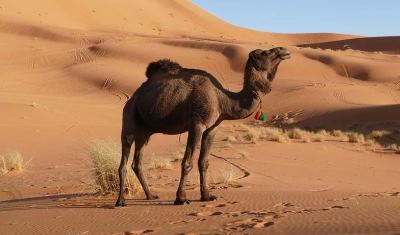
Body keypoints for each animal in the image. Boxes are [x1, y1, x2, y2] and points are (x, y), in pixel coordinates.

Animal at [115, 46, 290, 206]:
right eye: (266, 52)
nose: (284, 50)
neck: (223, 100)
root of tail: (133, 98)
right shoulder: (197, 124)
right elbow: (187, 162)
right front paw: (181, 198)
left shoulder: (212, 129)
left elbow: (204, 162)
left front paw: (207, 196)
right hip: (129, 118)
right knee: (124, 159)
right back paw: (121, 201)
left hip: (145, 132)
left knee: (137, 162)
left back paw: (150, 195)